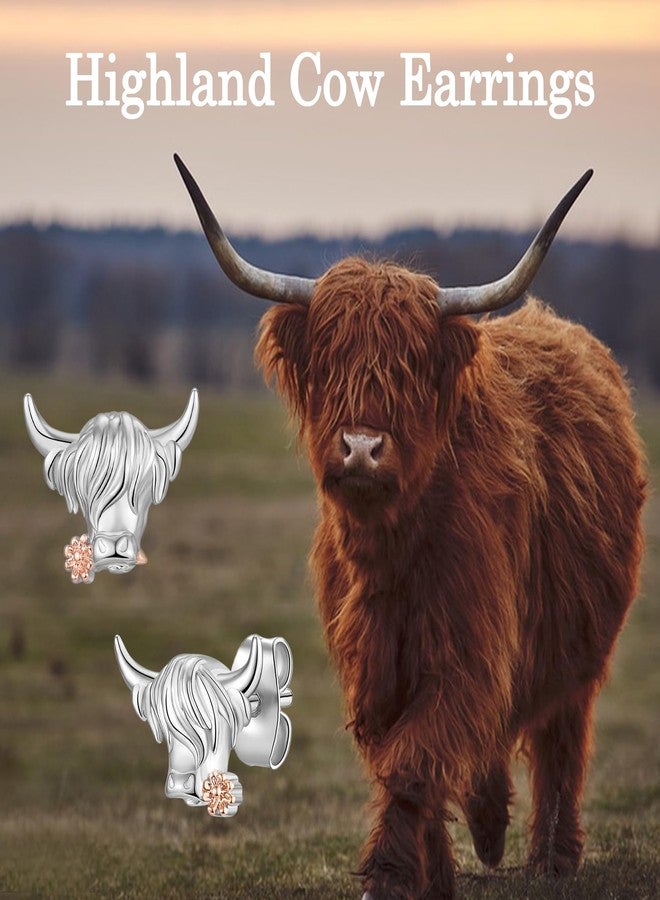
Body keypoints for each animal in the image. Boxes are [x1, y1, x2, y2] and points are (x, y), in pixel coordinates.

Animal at [175, 154, 646, 899]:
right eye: (331, 362)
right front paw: (435, 872)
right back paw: (490, 825)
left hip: (581, 646)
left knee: (561, 741)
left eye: (407, 370)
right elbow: (403, 756)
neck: (392, 555)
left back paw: (551, 855)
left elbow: (417, 759)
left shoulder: (465, 649)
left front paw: (394, 873)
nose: (362, 447)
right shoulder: (374, 665)